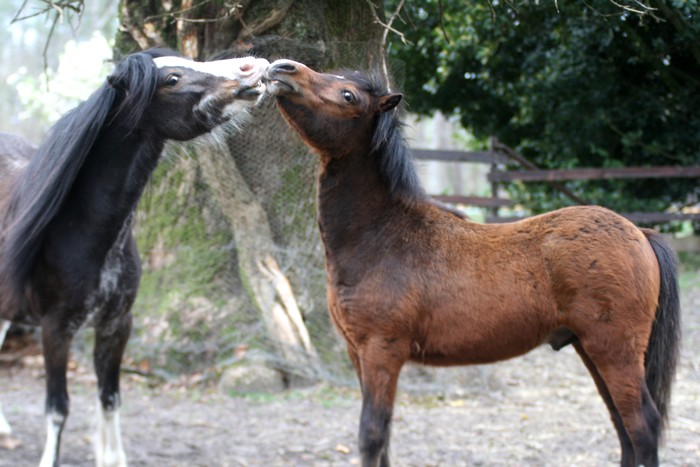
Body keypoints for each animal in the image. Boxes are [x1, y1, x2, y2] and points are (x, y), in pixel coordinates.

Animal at [0, 49, 268, 466]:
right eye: (172, 78)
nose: (252, 66)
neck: (82, 230)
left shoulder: (116, 326)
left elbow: (110, 399)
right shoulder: (55, 330)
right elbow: (57, 408)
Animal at [266, 60, 680, 466]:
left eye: (348, 95)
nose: (281, 69)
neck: (383, 237)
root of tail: (640, 232)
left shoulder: (382, 350)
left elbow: (372, 436)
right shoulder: (358, 353)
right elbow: (383, 443)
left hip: (614, 350)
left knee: (641, 424)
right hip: (592, 349)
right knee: (622, 425)